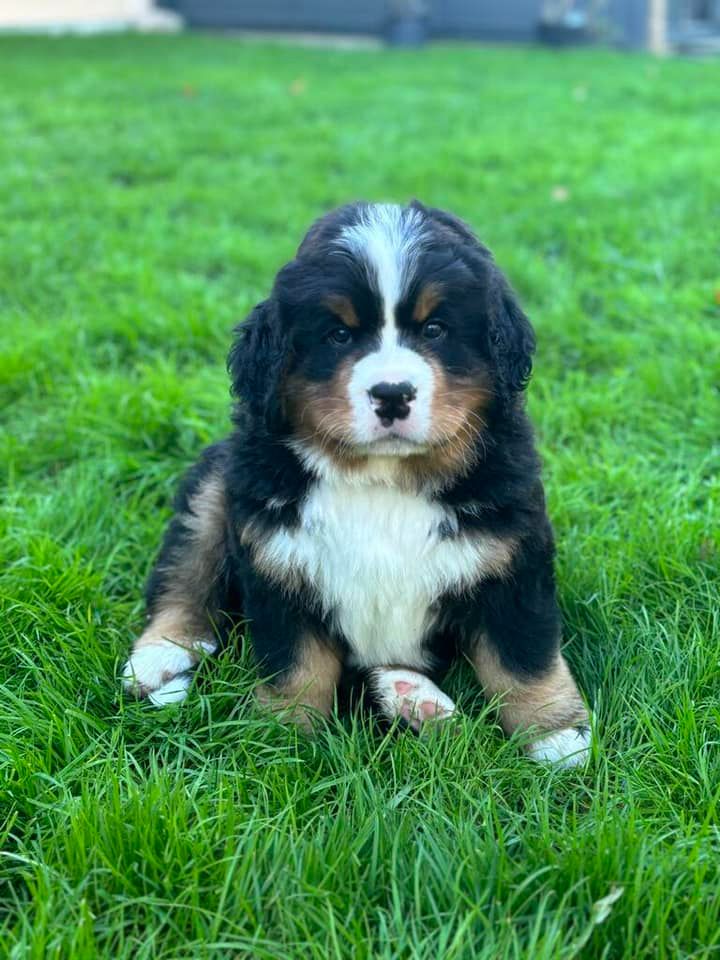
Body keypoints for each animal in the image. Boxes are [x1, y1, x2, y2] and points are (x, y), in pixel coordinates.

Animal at [122, 201, 590, 766]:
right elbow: (295, 668)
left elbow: (523, 655)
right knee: (185, 570)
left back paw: (413, 698)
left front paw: (554, 735)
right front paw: (280, 743)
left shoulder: (512, 558)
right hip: (217, 485)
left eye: (435, 329)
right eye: (339, 335)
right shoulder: (278, 563)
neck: (381, 479)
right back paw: (161, 659)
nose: (392, 393)